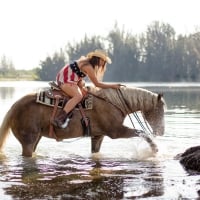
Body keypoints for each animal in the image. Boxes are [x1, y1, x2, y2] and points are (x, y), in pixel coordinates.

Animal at [0, 85, 166, 157]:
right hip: (28, 141)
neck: (114, 102)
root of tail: (14, 106)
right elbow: (142, 132)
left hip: (36, 138)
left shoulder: (98, 135)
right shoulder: (116, 131)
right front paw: (155, 149)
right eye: (160, 109)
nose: (161, 131)